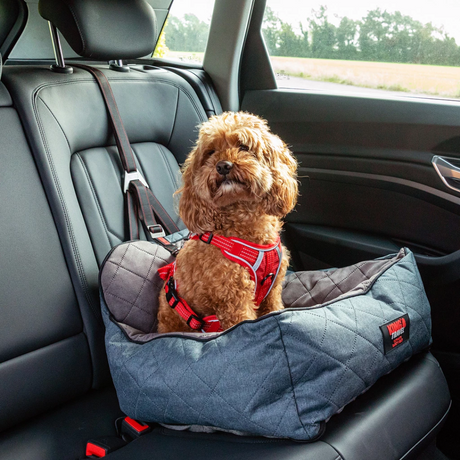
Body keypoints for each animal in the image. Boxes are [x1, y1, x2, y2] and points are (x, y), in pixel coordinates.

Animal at [156, 112, 298, 334]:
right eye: (211, 152)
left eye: (243, 146)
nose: (223, 165)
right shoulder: (234, 299)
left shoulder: (272, 291)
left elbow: (274, 308)